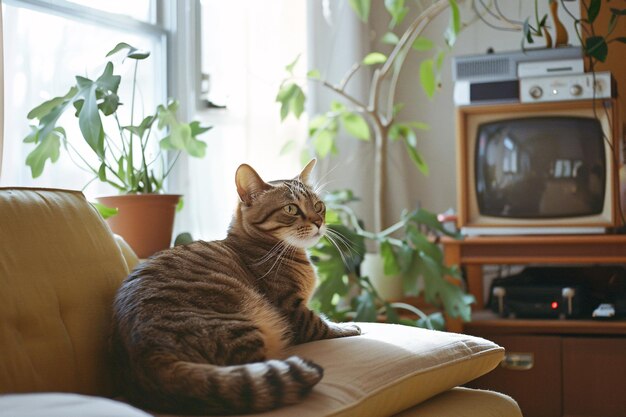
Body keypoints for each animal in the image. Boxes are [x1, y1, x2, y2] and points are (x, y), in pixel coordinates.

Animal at [109, 159, 358, 412]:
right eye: (291, 209)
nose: (319, 222)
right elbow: (321, 324)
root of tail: (146, 356)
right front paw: (348, 326)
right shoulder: (293, 310)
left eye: (318, 206)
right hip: (237, 324)